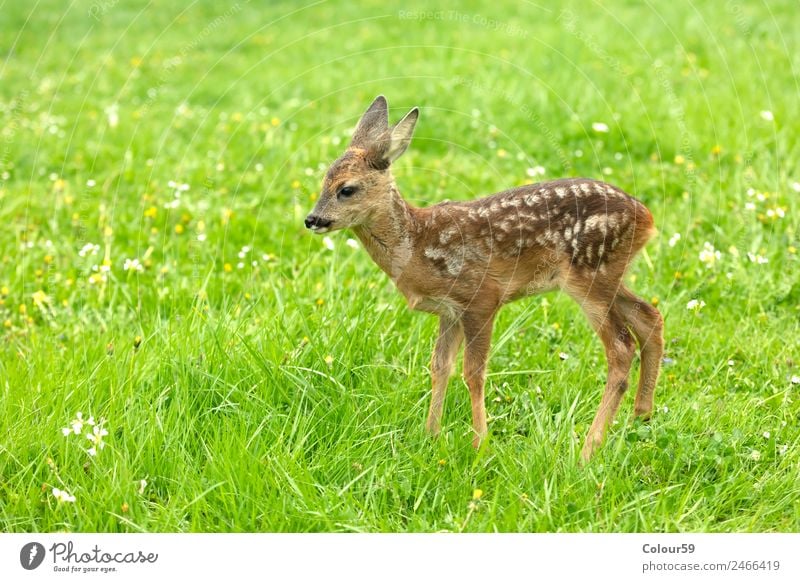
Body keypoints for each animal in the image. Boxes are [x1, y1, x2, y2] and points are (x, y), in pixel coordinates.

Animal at [304, 96, 664, 464]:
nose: (312, 219)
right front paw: (431, 435)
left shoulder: (481, 297)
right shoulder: (449, 310)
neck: (416, 244)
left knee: (621, 347)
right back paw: (641, 415)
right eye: (323, 181)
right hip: (609, 276)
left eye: (347, 189)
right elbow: (440, 366)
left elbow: (473, 372)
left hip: (589, 274)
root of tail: (647, 218)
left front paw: (480, 444)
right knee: (649, 315)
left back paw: (588, 450)